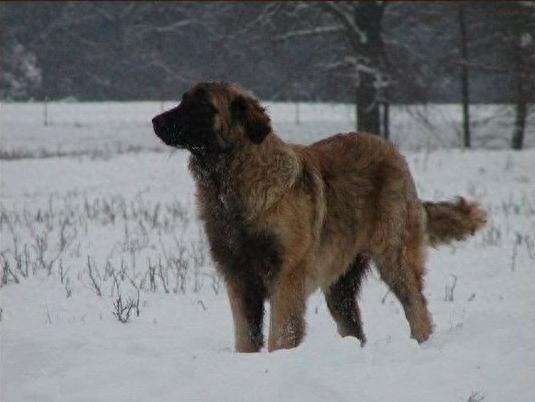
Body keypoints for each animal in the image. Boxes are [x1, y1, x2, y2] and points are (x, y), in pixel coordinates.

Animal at [153, 81, 488, 352]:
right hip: (340, 285)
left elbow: (280, 334)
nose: (154, 120)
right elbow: (246, 338)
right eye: (183, 100)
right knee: (354, 328)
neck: (231, 182)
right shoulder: (238, 277)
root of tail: (392, 150)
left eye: (200, 106)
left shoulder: (286, 276)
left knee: (417, 309)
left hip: (395, 259)